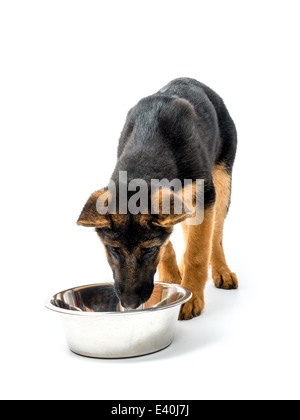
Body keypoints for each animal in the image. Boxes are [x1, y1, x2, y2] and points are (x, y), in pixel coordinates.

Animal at [78, 78, 239, 318]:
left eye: (149, 250)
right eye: (113, 249)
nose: (130, 303)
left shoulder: (205, 197)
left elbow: (198, 252)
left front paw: (191, 297)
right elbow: (169, 247)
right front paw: (171, 281)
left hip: (222, 185)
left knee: (215, 235)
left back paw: (222, 271)